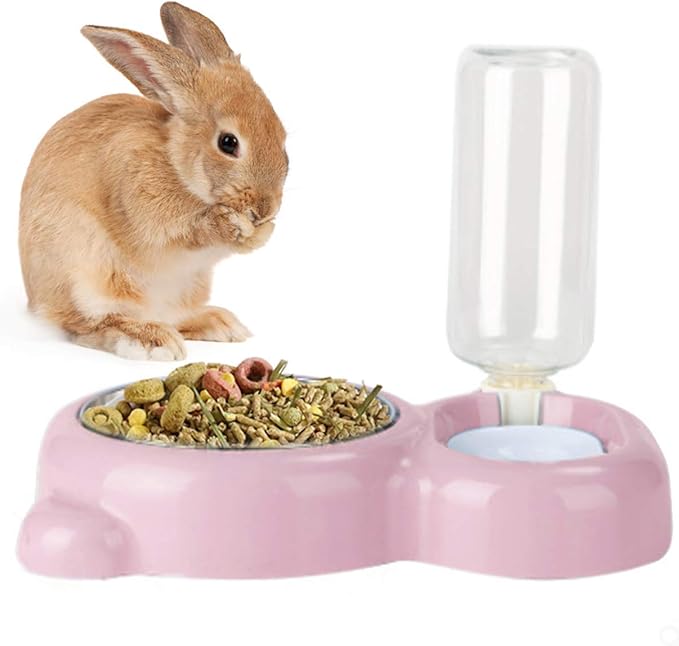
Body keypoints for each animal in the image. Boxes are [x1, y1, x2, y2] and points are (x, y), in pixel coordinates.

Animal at [19, 2, 288, 360]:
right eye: (228, 143)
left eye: (282, 136)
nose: (265, 208)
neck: (177, 164)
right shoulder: (143, 207)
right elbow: (184, 231)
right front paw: (231, 225)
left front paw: (260, 233)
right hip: (84, 275)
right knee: (85, 325)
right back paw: (151, 339)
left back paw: (218, 324)